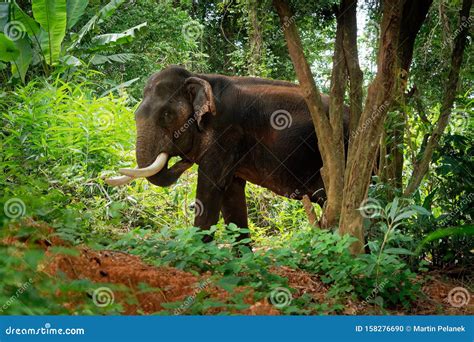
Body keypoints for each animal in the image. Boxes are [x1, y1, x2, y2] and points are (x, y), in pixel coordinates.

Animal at [108, 66, 352, 243]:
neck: (200, 77)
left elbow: (210, 189)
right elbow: (231, 194)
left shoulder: (226, 133)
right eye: (136, 115)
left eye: (167, 115)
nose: (181, 159)